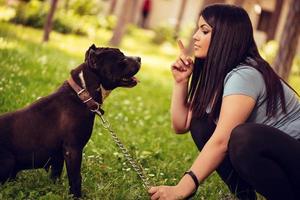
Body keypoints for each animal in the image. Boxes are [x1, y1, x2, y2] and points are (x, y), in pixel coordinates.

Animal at [0, 44, 141, 198]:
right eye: (121, 58)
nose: (139, 58)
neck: (82, 94)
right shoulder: (73, 150)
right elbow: (76, 178)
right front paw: (76, 196)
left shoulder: (59, 154)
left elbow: (55, 175)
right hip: (9, 161)